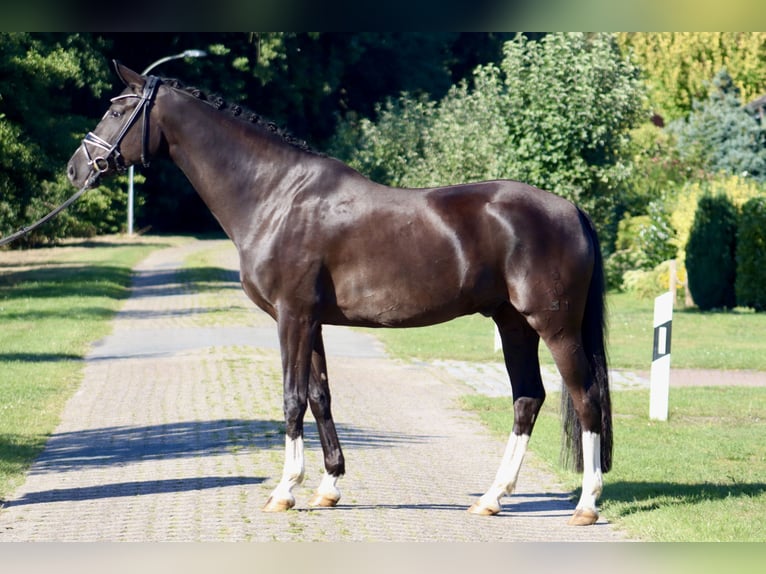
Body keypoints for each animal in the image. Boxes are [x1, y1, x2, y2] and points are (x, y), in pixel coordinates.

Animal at [69, 62, 616, 528]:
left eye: (116, 110)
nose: (77, 169)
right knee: (528, 398)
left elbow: (292, 399)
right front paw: (328, 486)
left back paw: (586, 504)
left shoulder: (292, 317)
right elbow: (320, 396)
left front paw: (284, 491)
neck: (276, 195)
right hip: (513, 323)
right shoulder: (311, 321)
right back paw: (491, 497)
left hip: (554, 326)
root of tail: (571, 210)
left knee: (585, 397)